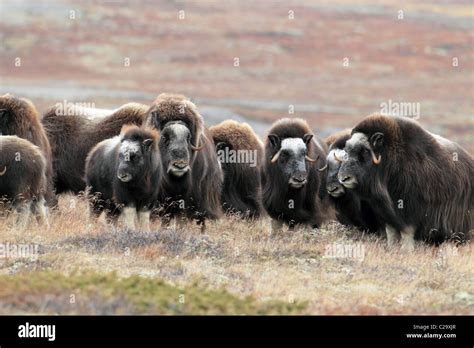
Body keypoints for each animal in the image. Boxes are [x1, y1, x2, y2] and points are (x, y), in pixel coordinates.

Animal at [338, 115, 472, 250]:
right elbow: (391, 233)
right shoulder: (388, 215)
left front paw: (407, 250)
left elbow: (407, 234)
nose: (343, 178)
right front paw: (391, 249)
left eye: (364, 151)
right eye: (346, 150)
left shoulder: (408, 213)